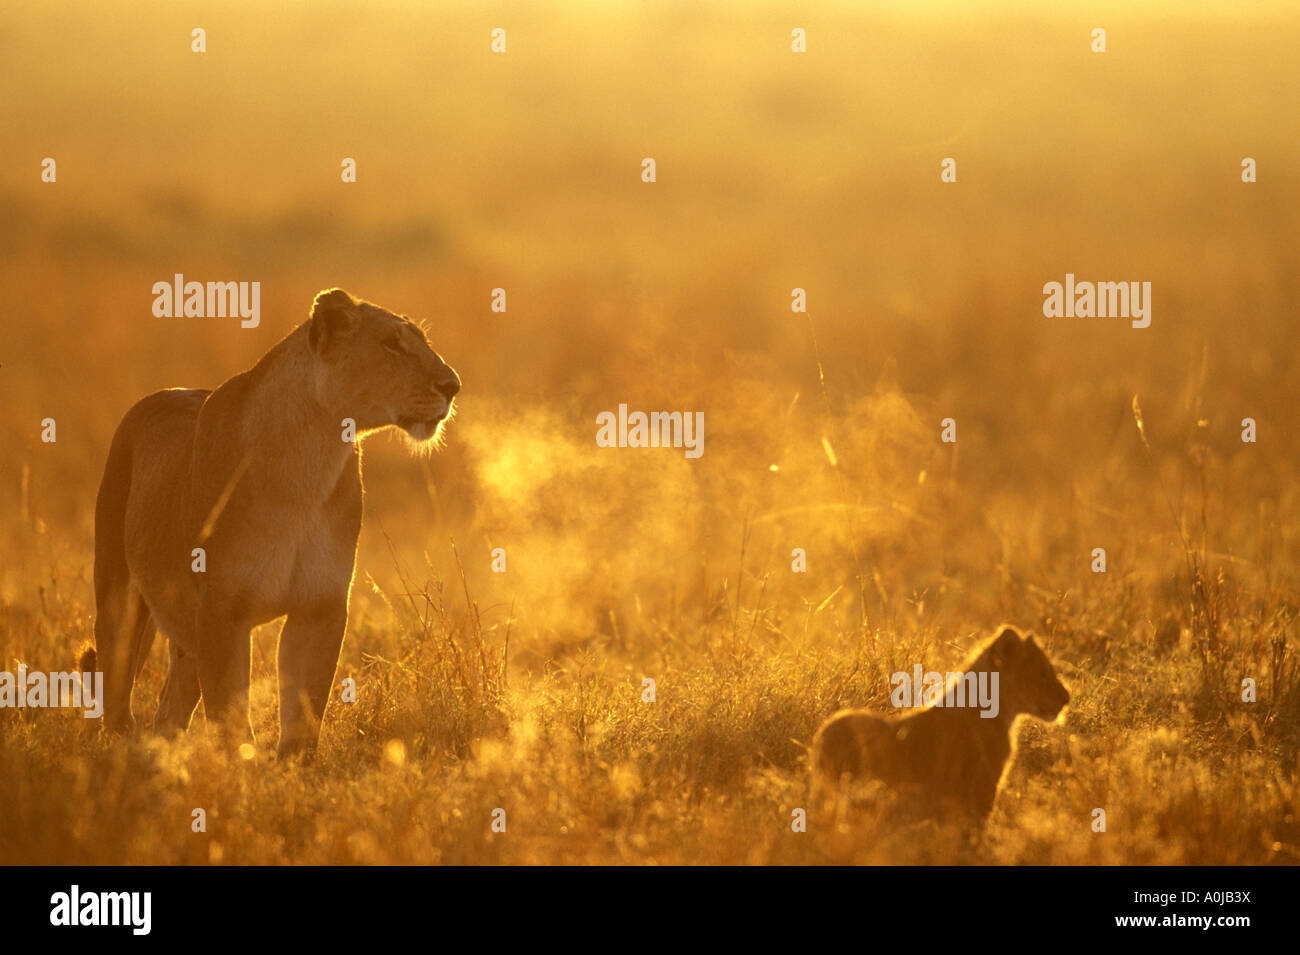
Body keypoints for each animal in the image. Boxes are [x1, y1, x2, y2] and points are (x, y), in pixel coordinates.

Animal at [81, 288, 461, 756]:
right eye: (391, 344)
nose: (453, 385)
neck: (309, 464)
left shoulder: (319, 607)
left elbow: (303, 715)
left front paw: (292, 771)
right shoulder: (222, 609)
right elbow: (230, 716)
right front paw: (242, 768)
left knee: (170, 709)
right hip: (119, 595)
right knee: (116, 697)